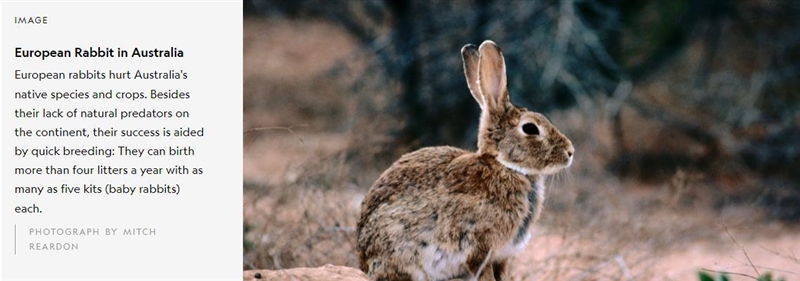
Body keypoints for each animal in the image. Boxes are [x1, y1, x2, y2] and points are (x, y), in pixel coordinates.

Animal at [358, 40, 576, 280]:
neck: (505, 166)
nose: (570, 152)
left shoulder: (502, 256)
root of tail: (364, 261)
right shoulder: (479, 248)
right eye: (530, 128)